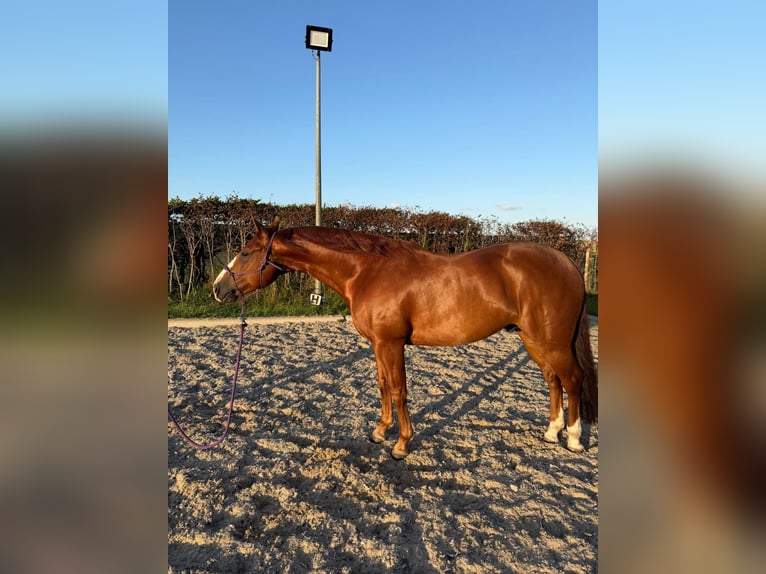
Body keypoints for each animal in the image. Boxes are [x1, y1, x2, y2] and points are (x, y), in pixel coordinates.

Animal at [212, 217, 597, 459]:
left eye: (245, 252)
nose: (218, 288)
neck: (366, 271)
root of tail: (566, 262)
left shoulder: (391, 343)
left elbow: (399, 390)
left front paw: (401, 444)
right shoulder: (377, 344)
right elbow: (383, 385)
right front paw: (380, 431)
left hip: (552, 342)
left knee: (573, 379)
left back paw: (574, 439)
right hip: (532, 340)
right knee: (553, 380)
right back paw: (551, 432)